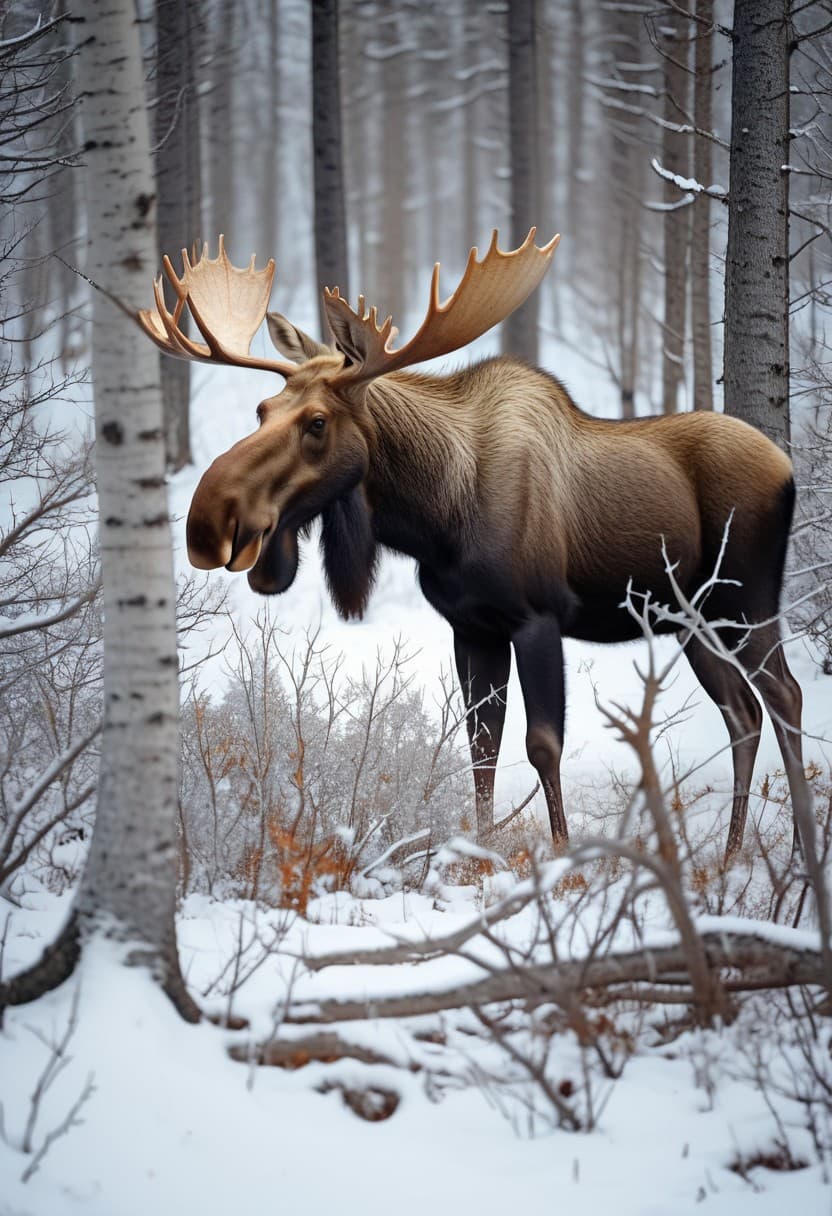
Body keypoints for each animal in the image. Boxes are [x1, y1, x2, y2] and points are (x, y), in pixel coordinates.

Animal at [135, 231, 804, 860]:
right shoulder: (472, 626)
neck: (433, 518)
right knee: (743, 714)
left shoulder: (537, 618)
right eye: (263, 408)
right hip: (691, 620)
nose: (209, 520)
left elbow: (541, 745)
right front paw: (481, 854)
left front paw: (561, 858)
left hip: (744, 603)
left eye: (318, 422)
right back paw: (733, 854)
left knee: (784, 697)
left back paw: (799, 852)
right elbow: (481, 745)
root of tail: (788, 468)